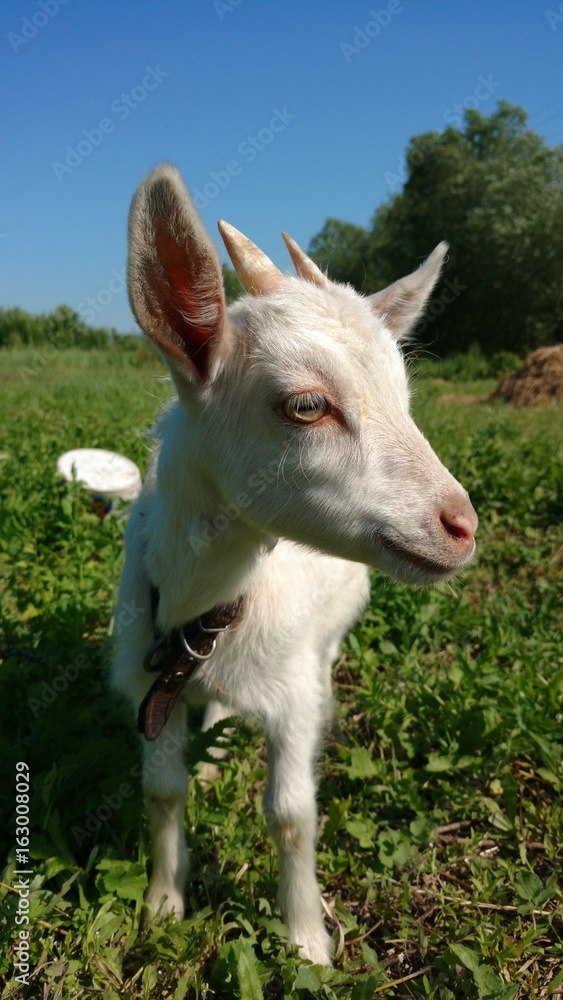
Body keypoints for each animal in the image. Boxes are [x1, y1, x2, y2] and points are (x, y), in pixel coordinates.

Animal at [113, 163, 477, 966]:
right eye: (307, 405)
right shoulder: (150, 682)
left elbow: (290, 814)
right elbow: (162, 791)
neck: (209, 607)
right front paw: (162, 905)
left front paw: (307, 940)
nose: (461, 526)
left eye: (406, 398)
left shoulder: (289, 691)